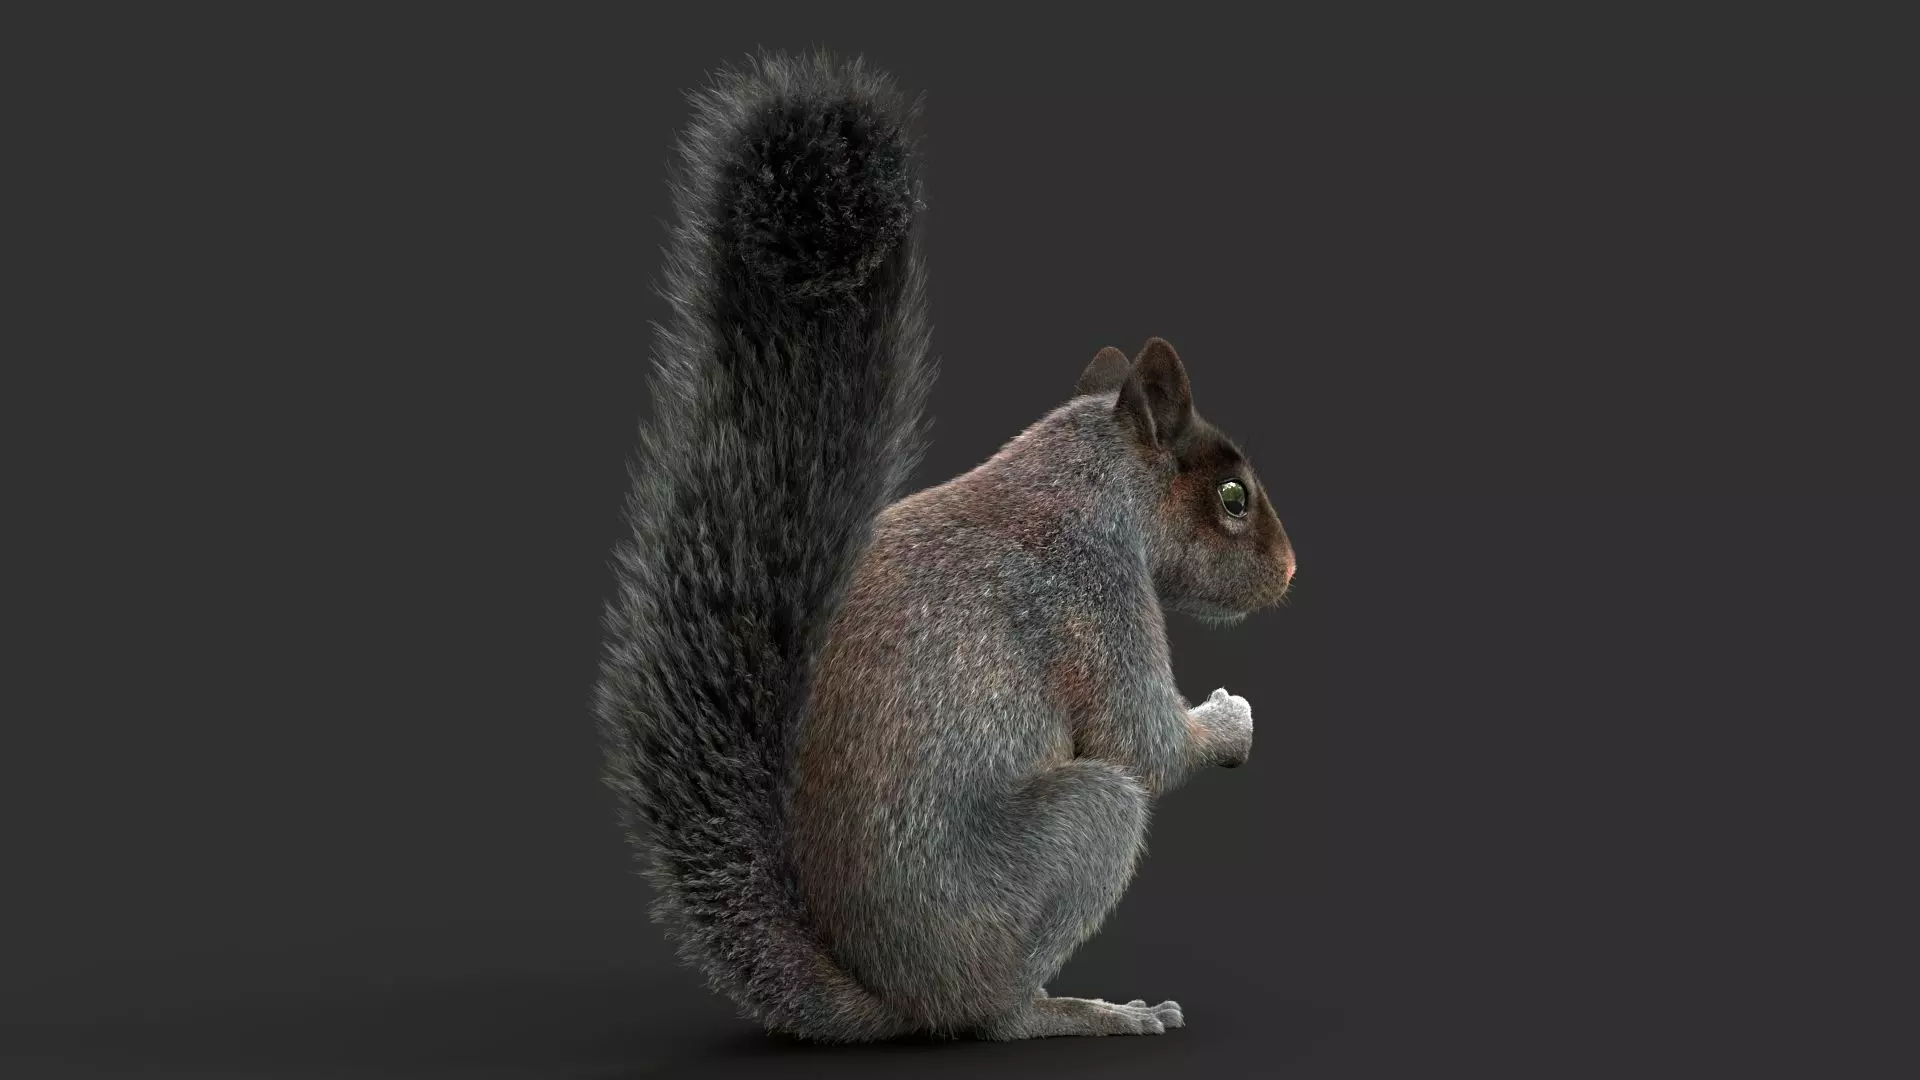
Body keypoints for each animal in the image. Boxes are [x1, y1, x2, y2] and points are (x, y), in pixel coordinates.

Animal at [594, 51, 1296, 1044]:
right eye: (1233, 499)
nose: (1291, 571)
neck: (1089, 479)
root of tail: (891, 998)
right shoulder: (1096, 599)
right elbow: (1145, 742)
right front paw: (1229, 720)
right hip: (1065, 846)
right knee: (995, 1011)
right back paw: (1084, 1011)